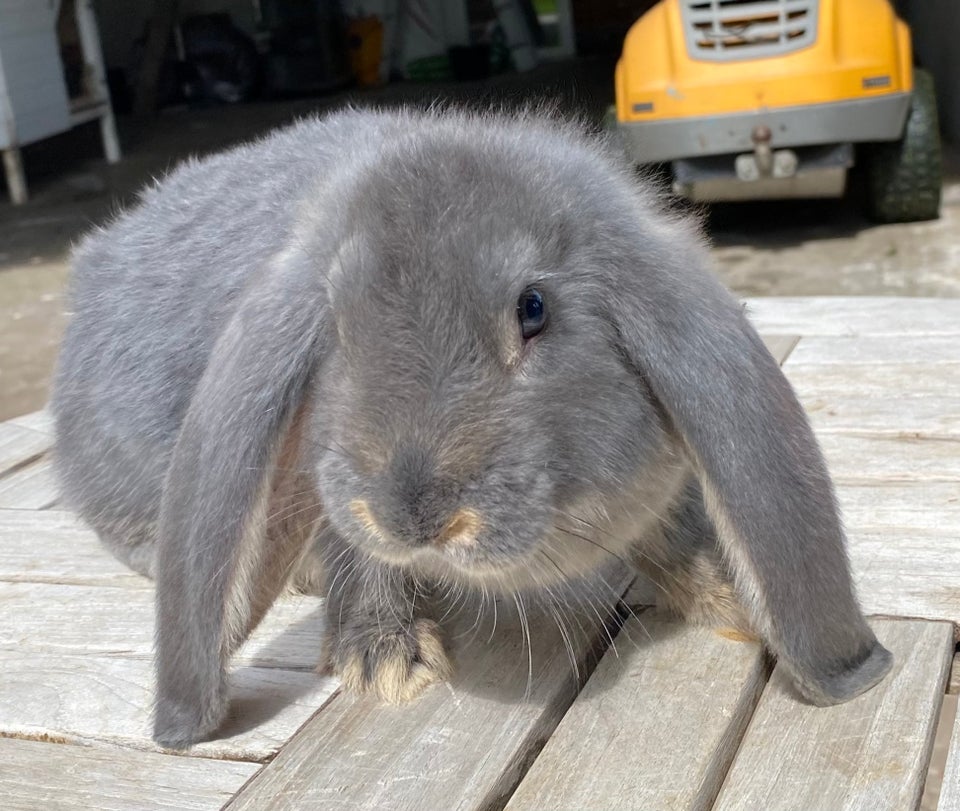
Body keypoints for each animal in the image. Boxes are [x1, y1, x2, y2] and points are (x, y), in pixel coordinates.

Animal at [52, 106, 892, 748]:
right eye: (335, 325)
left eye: (534, 308)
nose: (412, 513)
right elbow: (360, 558)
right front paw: (387, 662)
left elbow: (674, 530)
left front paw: (730, 594)